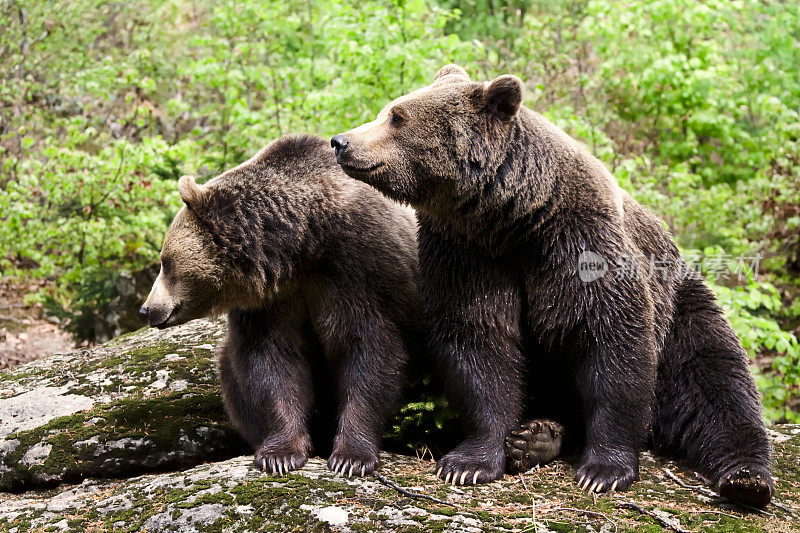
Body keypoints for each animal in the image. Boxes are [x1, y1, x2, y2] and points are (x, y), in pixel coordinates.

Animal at [141, 135, 422, 476]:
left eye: (165, 262)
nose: (146, 309)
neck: (304, 243)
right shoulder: (270, 300)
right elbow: (271, 360)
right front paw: (280, 453)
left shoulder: (361, 266)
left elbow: (370, 348)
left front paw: (351, 457)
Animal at [332, 64, 776, 504]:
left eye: (397, 117)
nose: (341, 141)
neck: (514, 219)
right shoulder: (467, 256)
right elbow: (479, 343)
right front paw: (469, 462)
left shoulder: (581, 246)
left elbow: (612, 342)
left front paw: (604, 470)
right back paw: (537, 438)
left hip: (682, 305)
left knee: (714, 379)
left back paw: (746, 476)